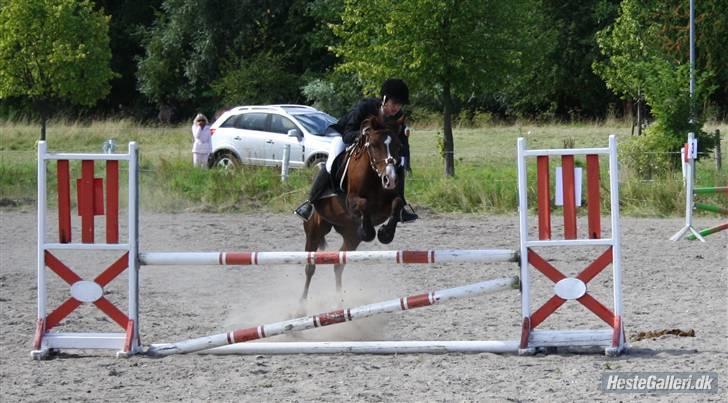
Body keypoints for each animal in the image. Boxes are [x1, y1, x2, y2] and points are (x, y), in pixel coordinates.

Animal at [301, 115, 406, 300]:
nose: (390, 179)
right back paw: (302, 304)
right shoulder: (351, 202)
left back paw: (339, 300)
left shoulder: (388, 203)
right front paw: (369, 232)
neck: (375, 175)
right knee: (310, 267)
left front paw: (385, 234)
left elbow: (397, 203)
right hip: (315, 229)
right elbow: (364, 205)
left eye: (399, 146)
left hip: (350, 237)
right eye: (373, 145)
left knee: (338, 264)